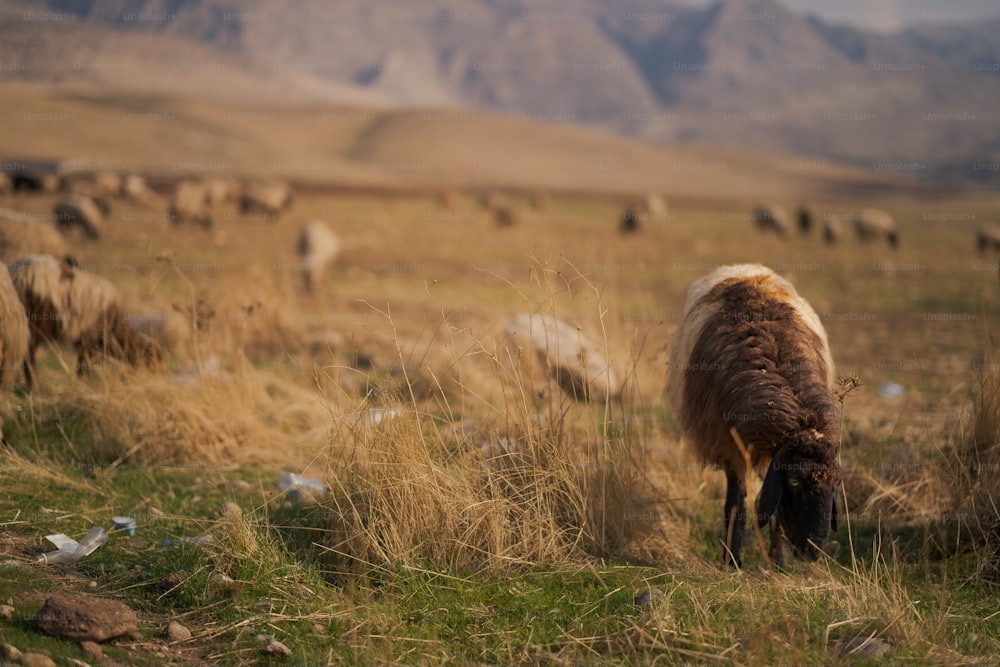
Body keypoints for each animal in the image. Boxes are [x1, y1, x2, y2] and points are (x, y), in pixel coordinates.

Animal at [8, 254, 162, 386]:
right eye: (151, 360)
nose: (156, 380)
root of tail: (15, 274)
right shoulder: (88, 339)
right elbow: (84, 364)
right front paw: (85, 383)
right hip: (35, 321)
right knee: (28, 352)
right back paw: (33, 383)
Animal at [668, 264, 840, 568]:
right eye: (794, 482)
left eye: (836, 483)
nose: (813, 551)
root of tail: (745, 269)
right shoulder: (732, 448)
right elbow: (737, 505)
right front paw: (732, 561)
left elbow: (775, 512)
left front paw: (778, 562)